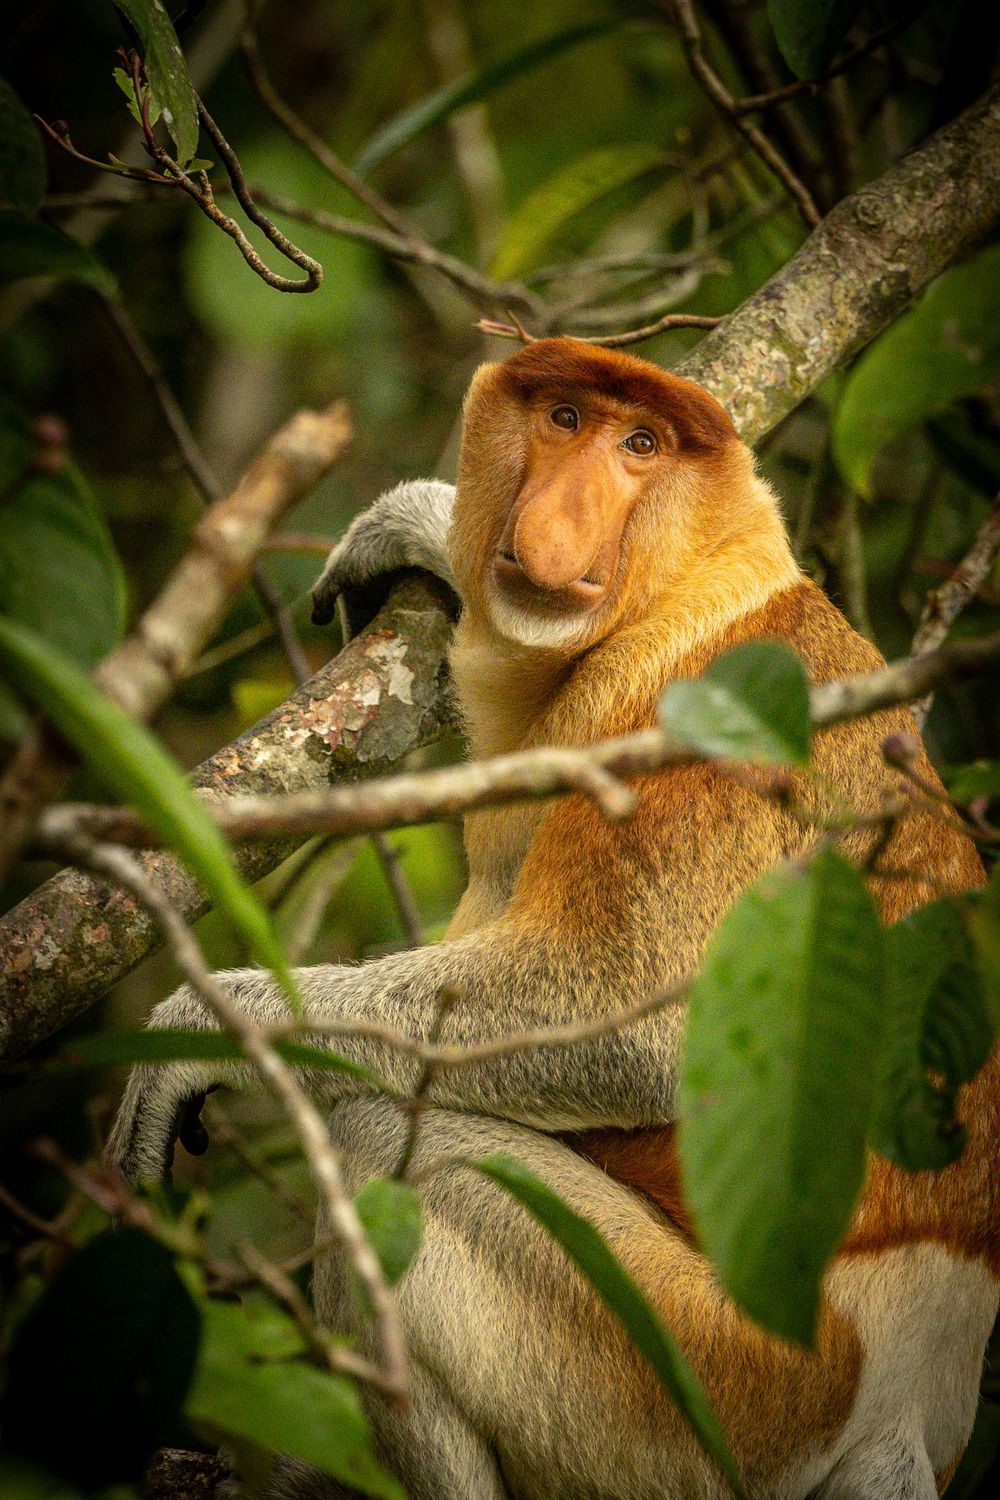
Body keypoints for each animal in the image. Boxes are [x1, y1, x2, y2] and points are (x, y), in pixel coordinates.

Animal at [109, 339, 996, 1499]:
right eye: (564, 417)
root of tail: (916, 1401)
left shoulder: (705, 720)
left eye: (641, 445)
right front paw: (421, 523)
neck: (684, 592)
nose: (554, 526)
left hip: (723, 1389)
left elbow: (637, 1025)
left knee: (407, 1152)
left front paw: (204, 1030)